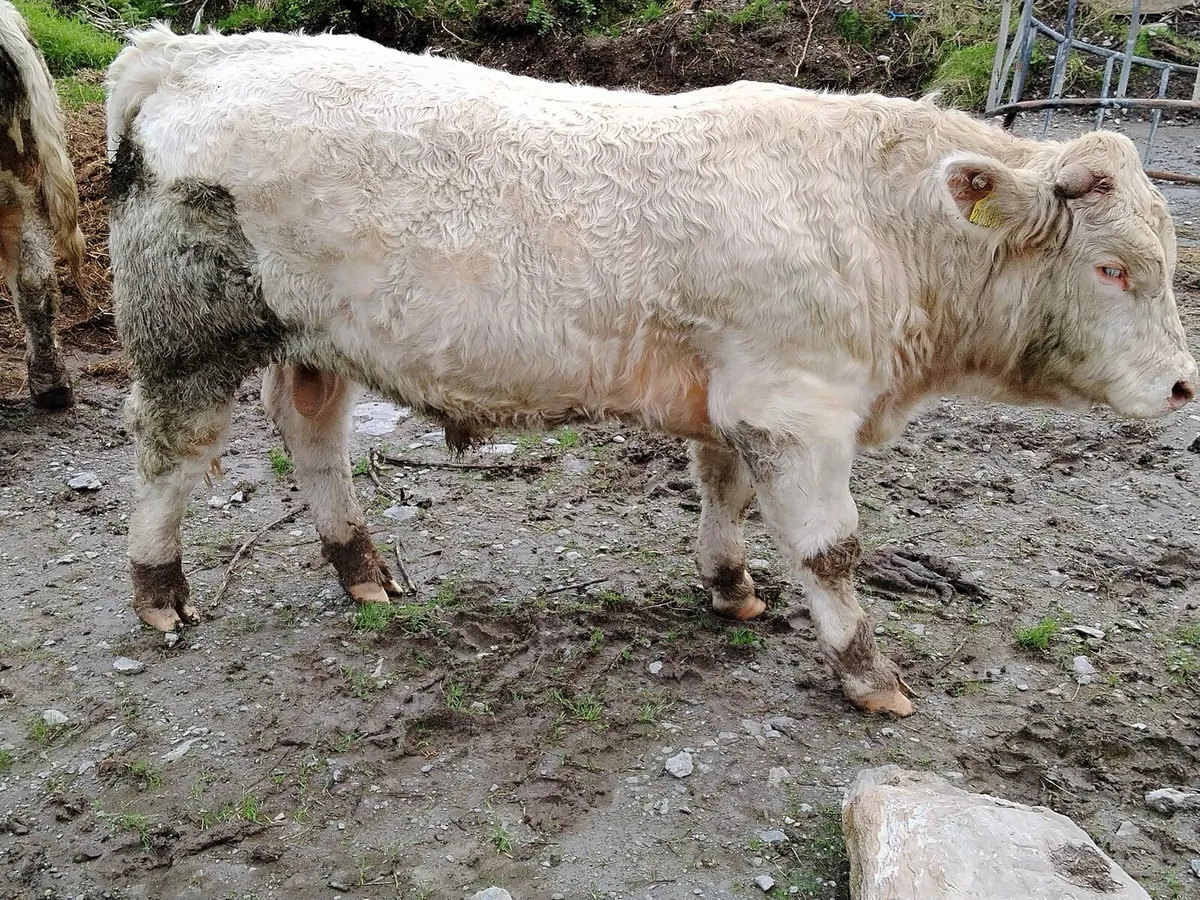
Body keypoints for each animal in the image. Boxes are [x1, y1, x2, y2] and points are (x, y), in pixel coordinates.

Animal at [105, 25, 1197, 718]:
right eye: (1113, 268)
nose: (1186, 386)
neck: (872, 218)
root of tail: (183, 52)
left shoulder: (735, 396)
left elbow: (723, 492)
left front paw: (731, 585)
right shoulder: (798, 406)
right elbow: (833, 551)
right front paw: (869, 673)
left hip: (314, 336)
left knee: (313, 429)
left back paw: (363, 568)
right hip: (188, 331)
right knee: (168, 450)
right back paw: (161, 590)